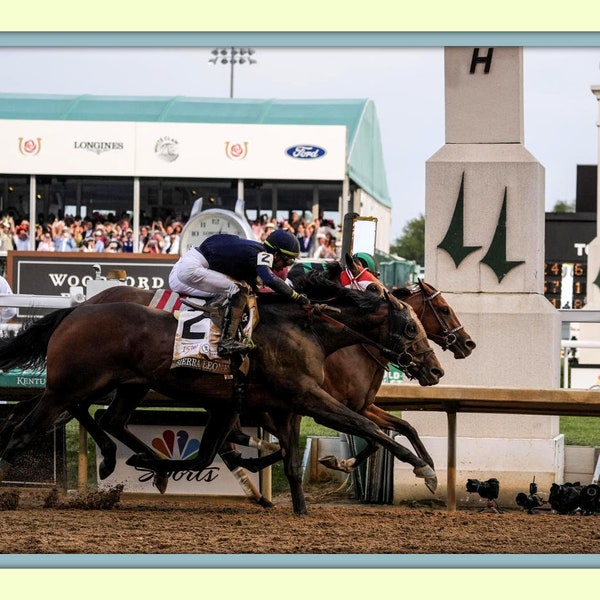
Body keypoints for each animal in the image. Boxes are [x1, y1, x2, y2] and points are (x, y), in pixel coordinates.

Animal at [0, 276, 440, 516]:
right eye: (411, 328)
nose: (436, 369)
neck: (307, 331)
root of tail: (74, 311)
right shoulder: (310, 399)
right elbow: (369, 428)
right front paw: (425, 469)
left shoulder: (276, 406)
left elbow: (284, 459)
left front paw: (298, 508)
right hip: (70, 386)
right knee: (26, 430)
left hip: (125, 386)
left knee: (108, 420)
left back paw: (133, 460)